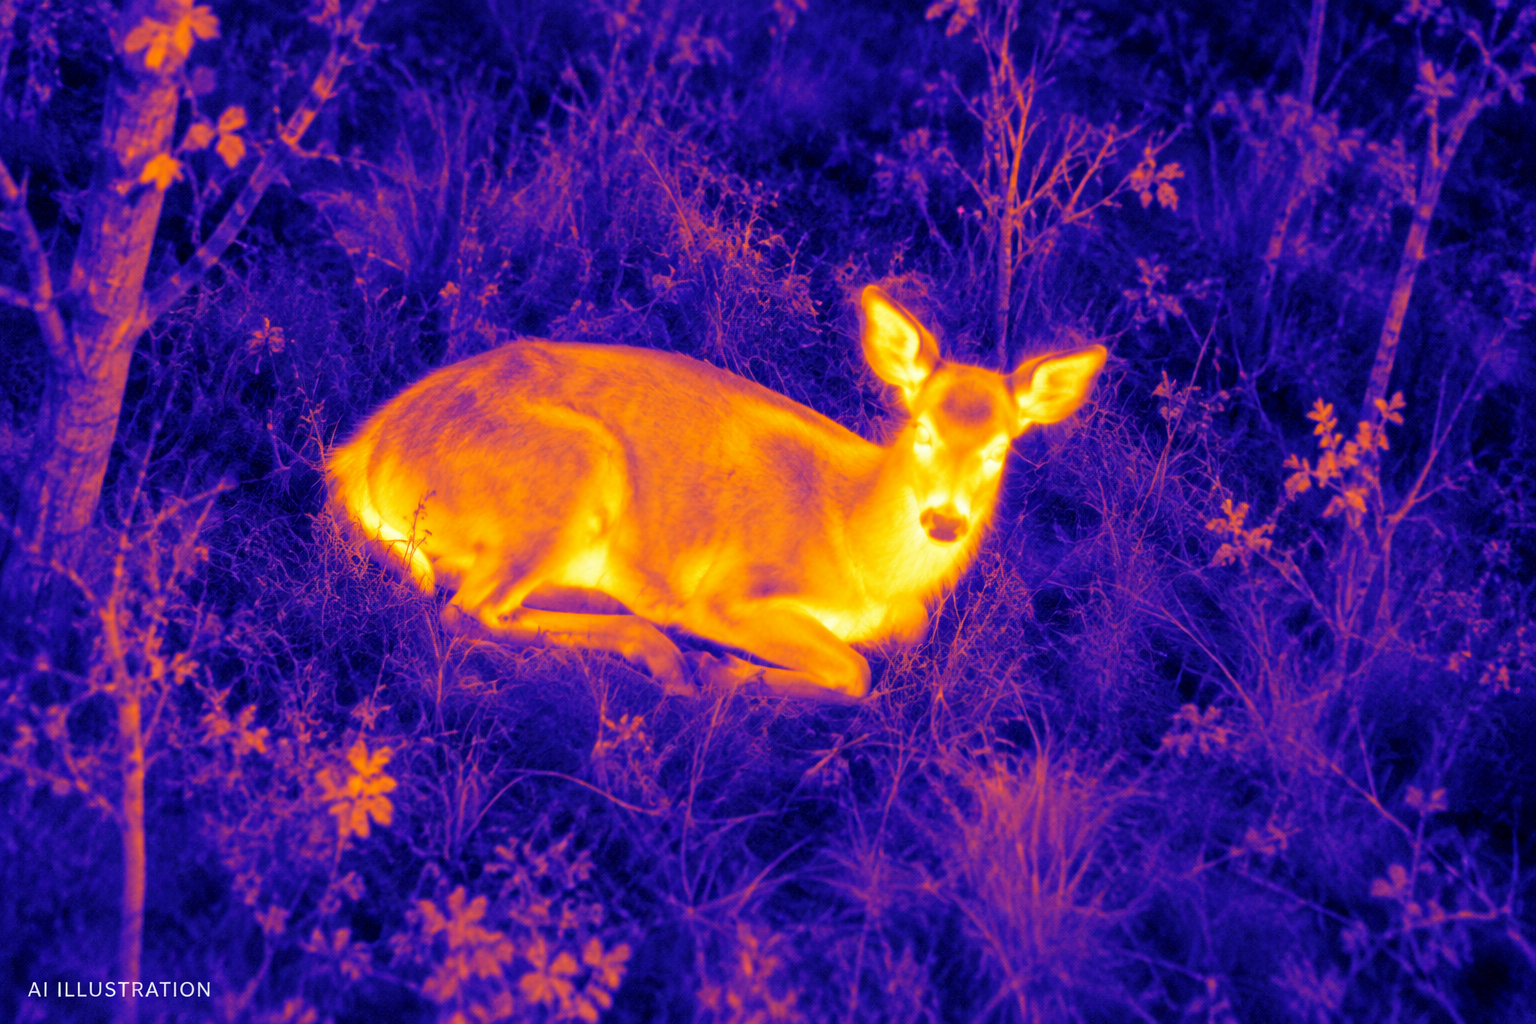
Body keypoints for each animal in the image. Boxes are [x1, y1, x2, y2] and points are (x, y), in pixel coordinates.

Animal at [326, 285, 1106, 701]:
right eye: (920, 428)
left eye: (1000, 449)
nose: (944, 520)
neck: (856, 543)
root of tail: (364, 456)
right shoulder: (733, 586)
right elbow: (854, 669)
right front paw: (727, 669)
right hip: (570, 470)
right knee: (466, 613)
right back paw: (663, 650)